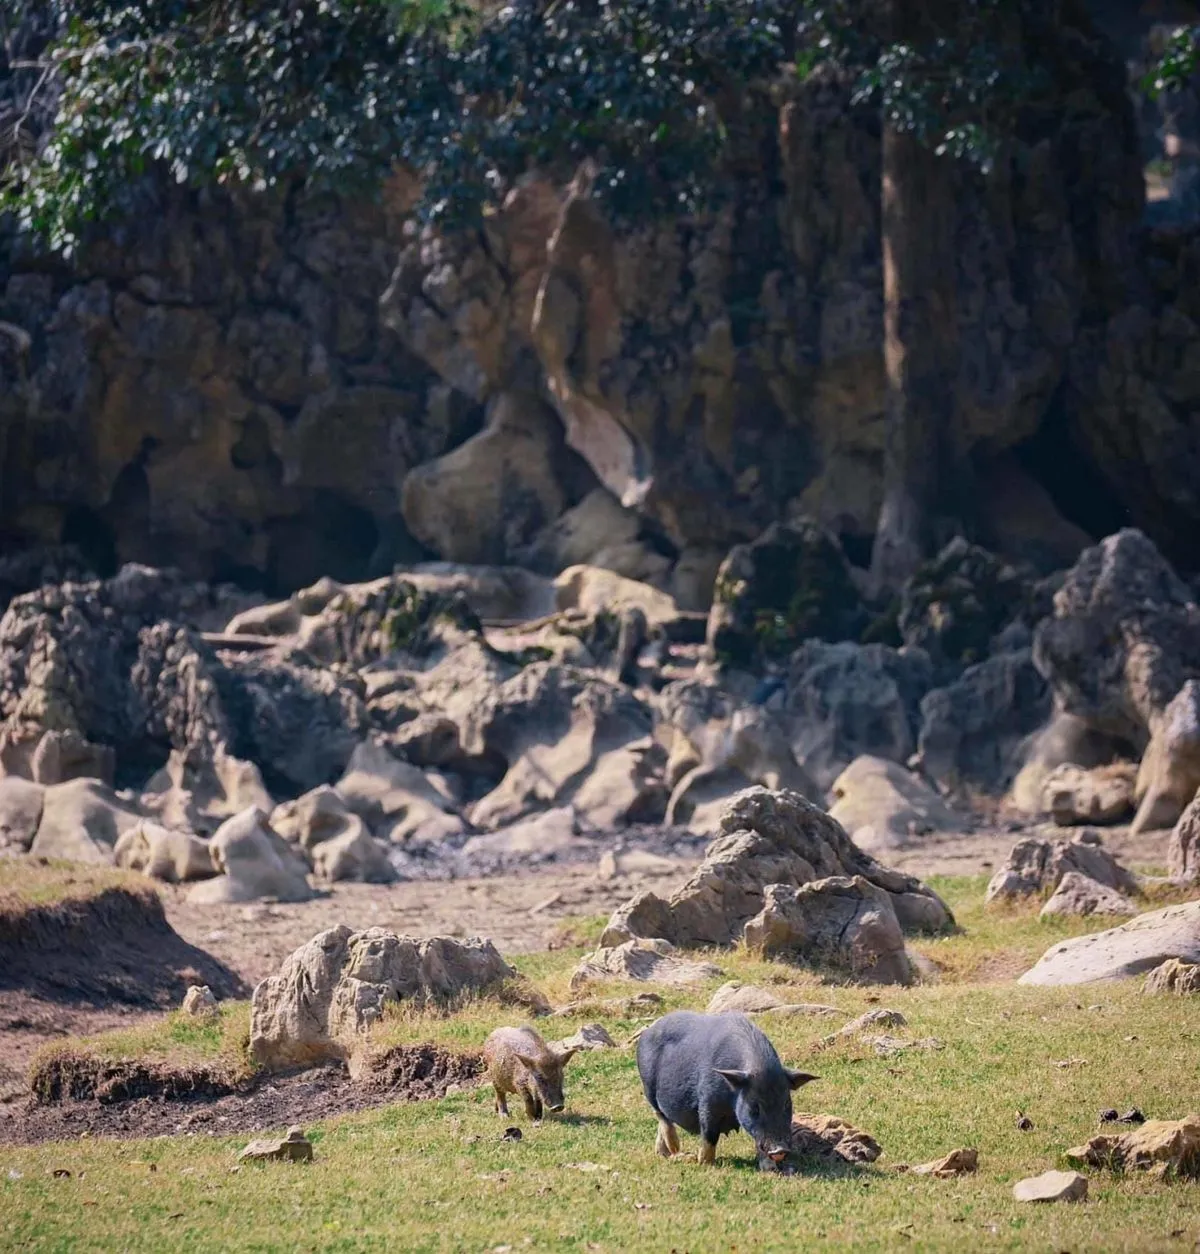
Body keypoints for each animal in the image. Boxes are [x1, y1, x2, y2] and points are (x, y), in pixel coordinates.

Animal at [636, 1008, 812, 1163]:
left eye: (787, 1104)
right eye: (754, 1108)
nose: (780, 1149)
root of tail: (648, 1030)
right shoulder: (708, 1101)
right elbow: (709, 1134)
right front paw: (705, 1163)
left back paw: (667, 1154)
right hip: (648, 1085)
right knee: (660, 1114)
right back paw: (677, 1150)